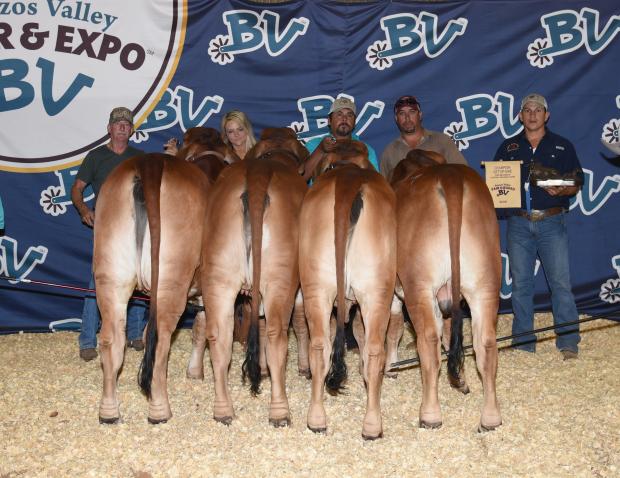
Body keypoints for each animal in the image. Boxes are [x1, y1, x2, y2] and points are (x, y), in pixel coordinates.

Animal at [194, 127, 308, 426]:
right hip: (281, 280)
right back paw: (280, 411)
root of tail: (258, 176)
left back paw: (223, 410)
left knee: (219, 338)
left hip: (218, 277)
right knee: (277, 335)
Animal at [300, 140, 398, 438]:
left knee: (320, 346)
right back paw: (372, 425)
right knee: (374, 348)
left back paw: (318, 420)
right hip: (377, 291)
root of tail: (347, 181)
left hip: (316, 286)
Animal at [392, 154, 504, 434]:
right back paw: (490, 418)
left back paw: (430, 415)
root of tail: (449, 176)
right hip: (485, 284)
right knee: (486, 343)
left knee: (428, 342)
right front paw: (462, 381)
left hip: (419, 286)